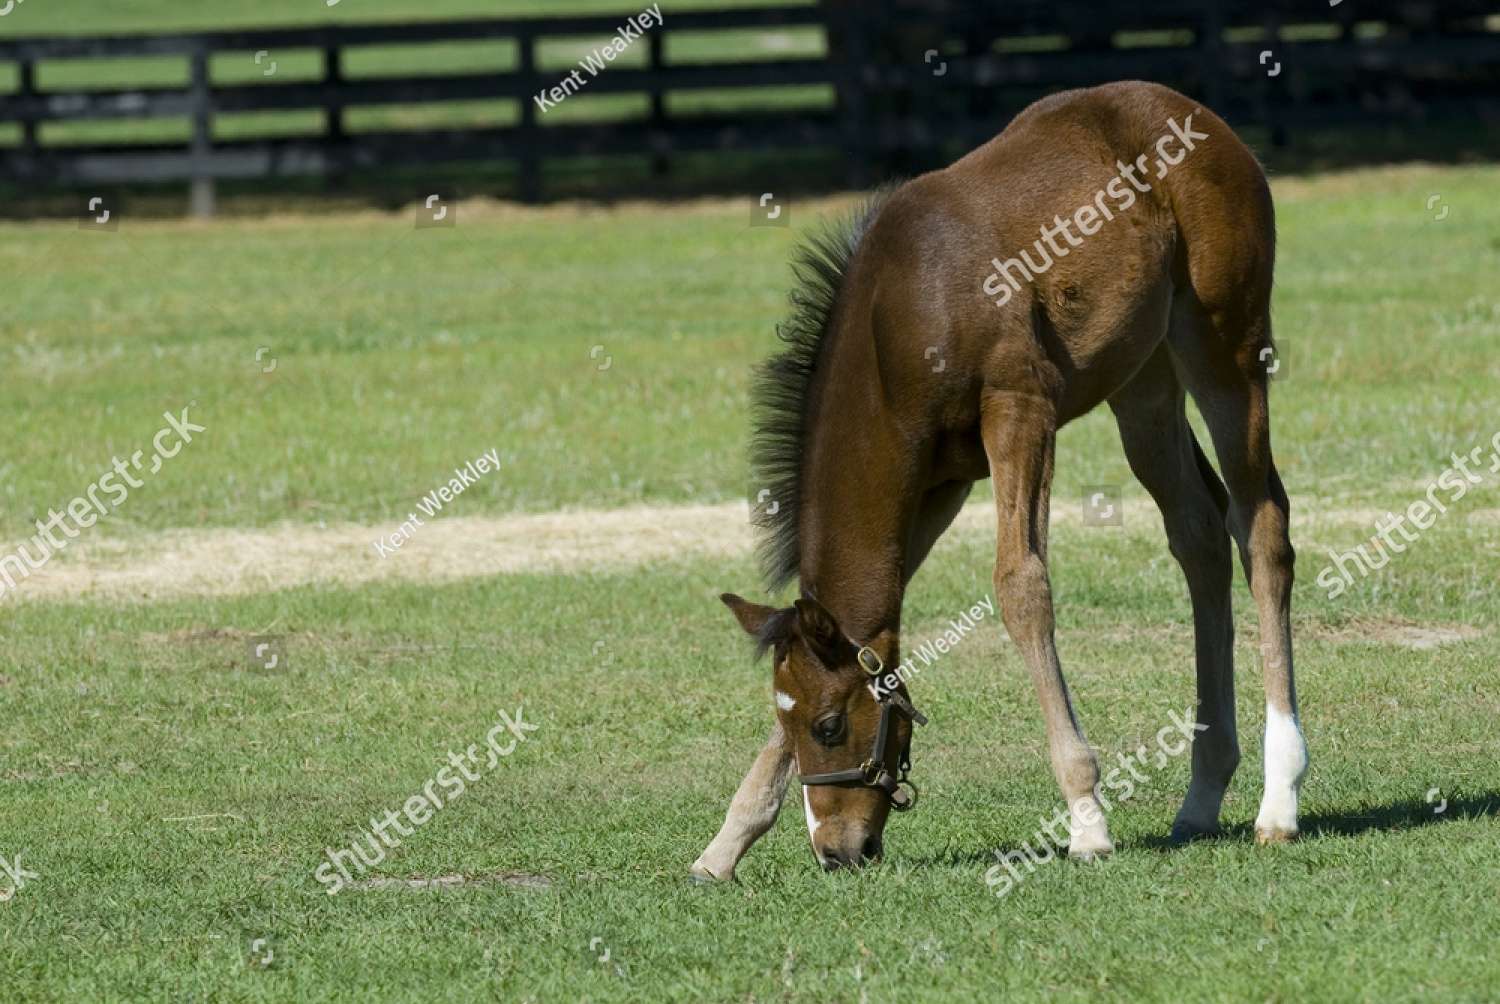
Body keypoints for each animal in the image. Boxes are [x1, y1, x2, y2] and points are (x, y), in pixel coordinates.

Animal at [696, 82, 1308, 870]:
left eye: (831, 725)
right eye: (796, 723)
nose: (837, 850)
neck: (899, 318)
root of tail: (1201, 116)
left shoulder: (1019, 409)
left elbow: (1022, 587)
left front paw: (1086, 818)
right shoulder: (936, 480)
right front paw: (726, 842)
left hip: (1226, 343)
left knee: (1260, 524)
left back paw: (1279, 799)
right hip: (1142, 380)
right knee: (1198, 532)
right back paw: (1202, 798)